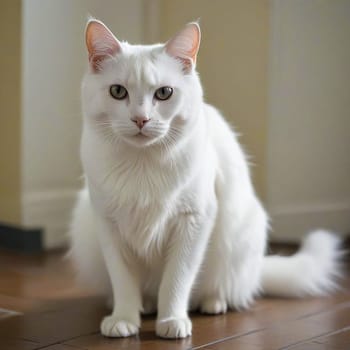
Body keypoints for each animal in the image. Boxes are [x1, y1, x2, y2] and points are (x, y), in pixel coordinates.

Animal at [69, 19, 342, 340]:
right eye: (117, 91)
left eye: (164, 93)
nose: (140, 119)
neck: (143, 164)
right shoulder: (109, 225)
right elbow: (123, 280)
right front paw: (124, 318)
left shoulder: (194, 219)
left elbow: (177, 279)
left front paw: (172, 320)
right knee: (137, 290)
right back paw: (142, 305)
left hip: (238, 239)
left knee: (221, 289)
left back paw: (213, 303)